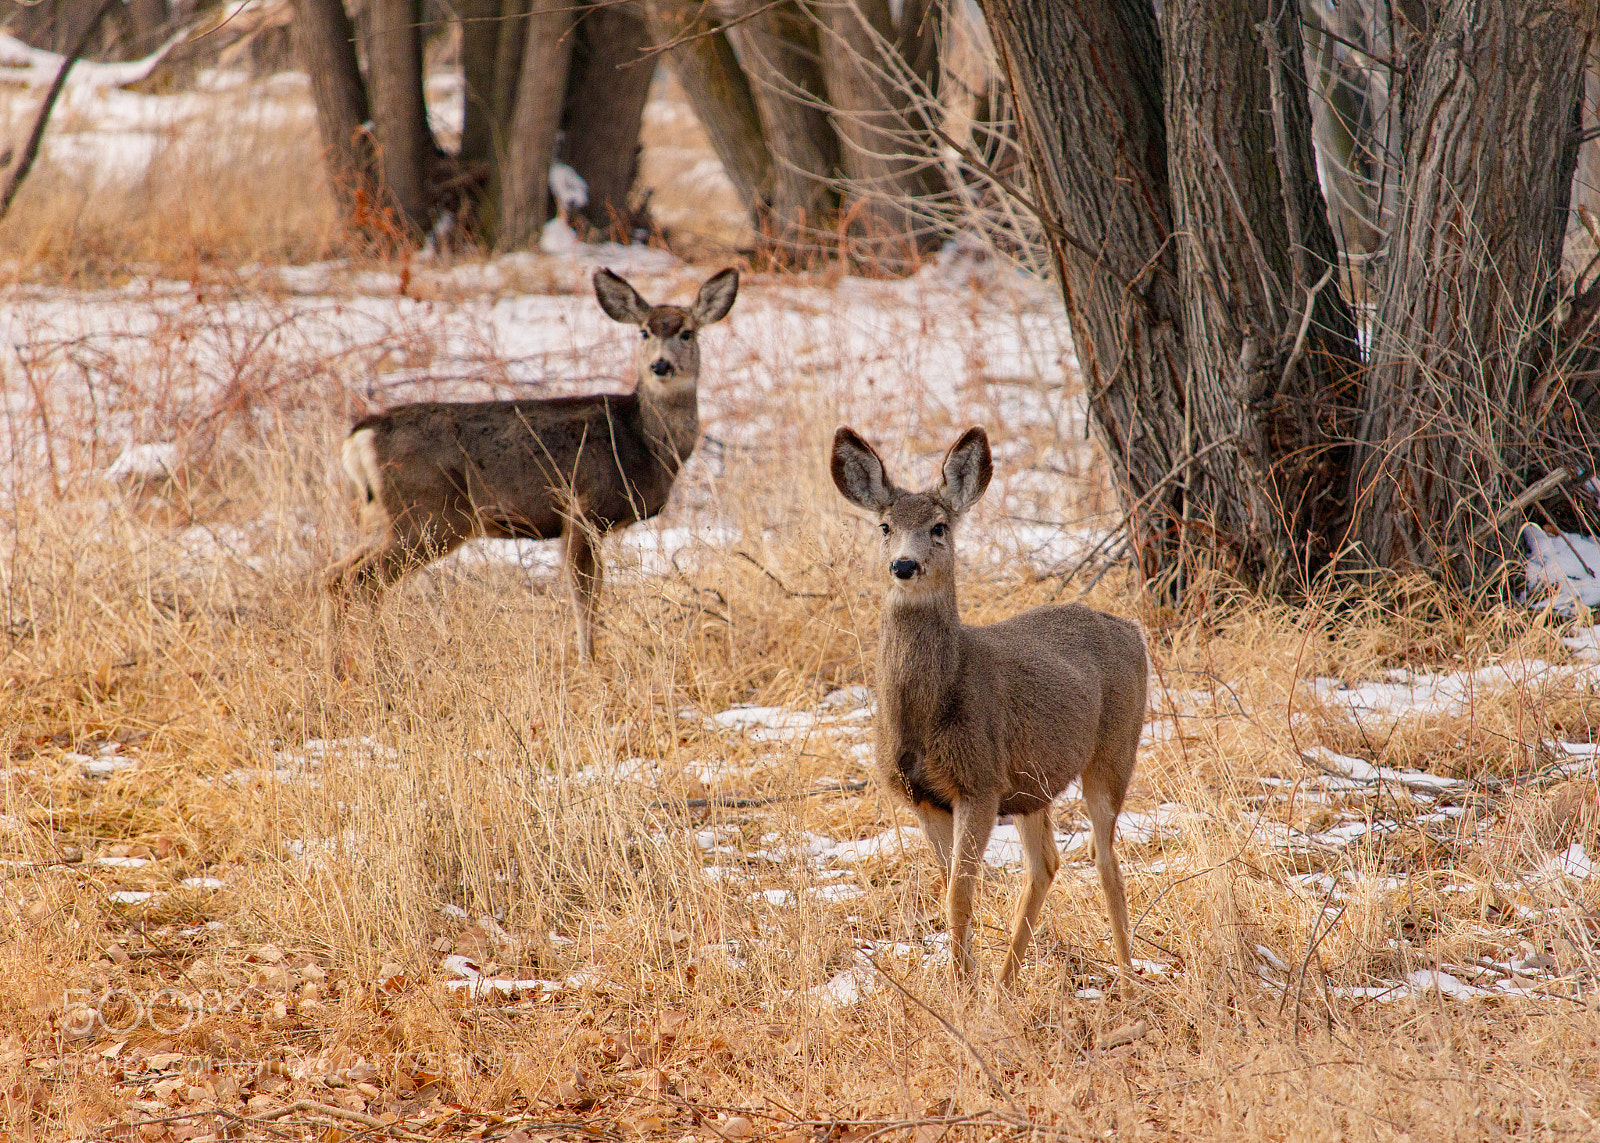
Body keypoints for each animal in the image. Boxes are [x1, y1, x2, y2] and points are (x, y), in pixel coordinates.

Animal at [324, 266, 740, 668]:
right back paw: (379, 664)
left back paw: (343, 666)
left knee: (336, 575)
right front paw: (588, 662)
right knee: (362, 581)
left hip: (387, 516)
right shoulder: (582, 510)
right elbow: (584, 595)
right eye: (644, 331)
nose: (660, 365)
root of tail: (362, 435)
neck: (643, 440)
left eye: (687, 332)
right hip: (428, 514)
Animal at [830, 425, 1147, 990]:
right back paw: (1005, 982)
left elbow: (960, 891)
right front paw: (967, 978)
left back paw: (1128, 981)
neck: (926, 714)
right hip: (1030, 784)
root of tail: (1135, 631)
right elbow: (948, 886)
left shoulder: (978, 781)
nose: (903, 565)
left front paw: (961, 985)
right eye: (885, 526)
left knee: (1106, 859)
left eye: (938, 527)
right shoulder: (923, 796)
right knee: (1046, 864)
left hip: (1113, 752)